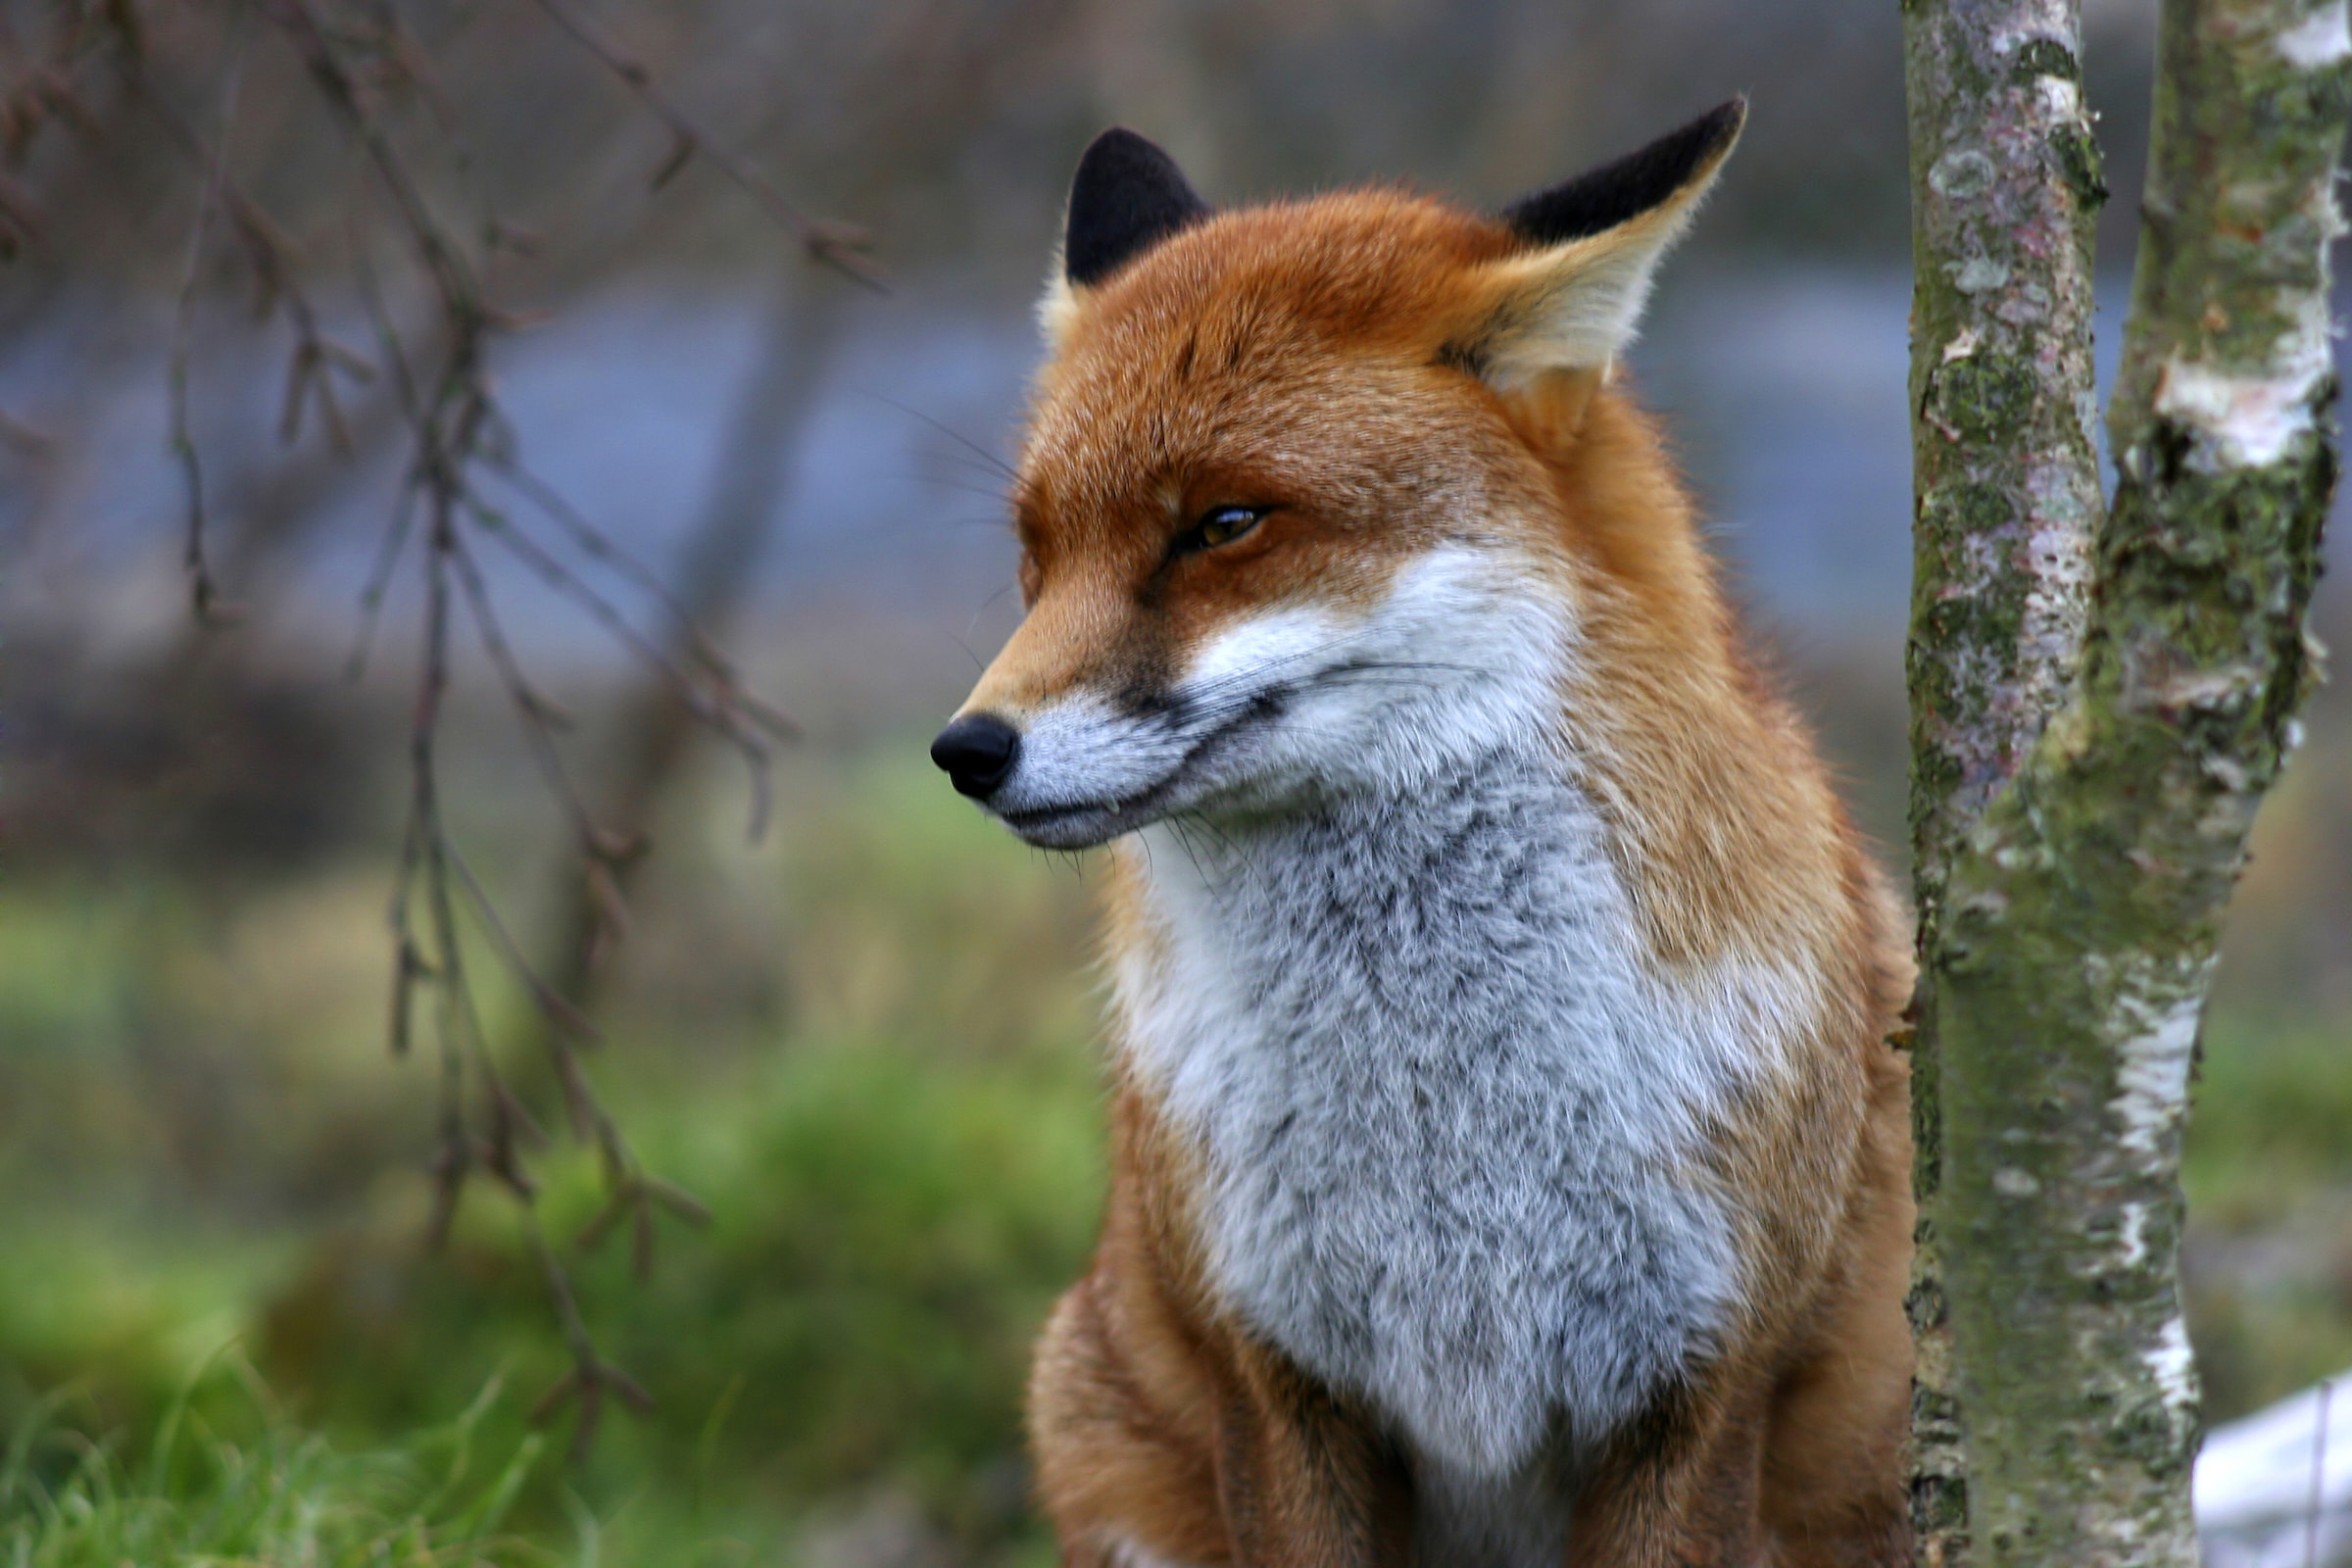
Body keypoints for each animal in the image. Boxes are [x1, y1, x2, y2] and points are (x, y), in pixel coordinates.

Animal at [926, 98, 1919, 1568]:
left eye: (1225, 523)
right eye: (1037, 555)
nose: (968, 754)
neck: (1447, 1115)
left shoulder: (1700, 1386)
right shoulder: (1275, 1385)